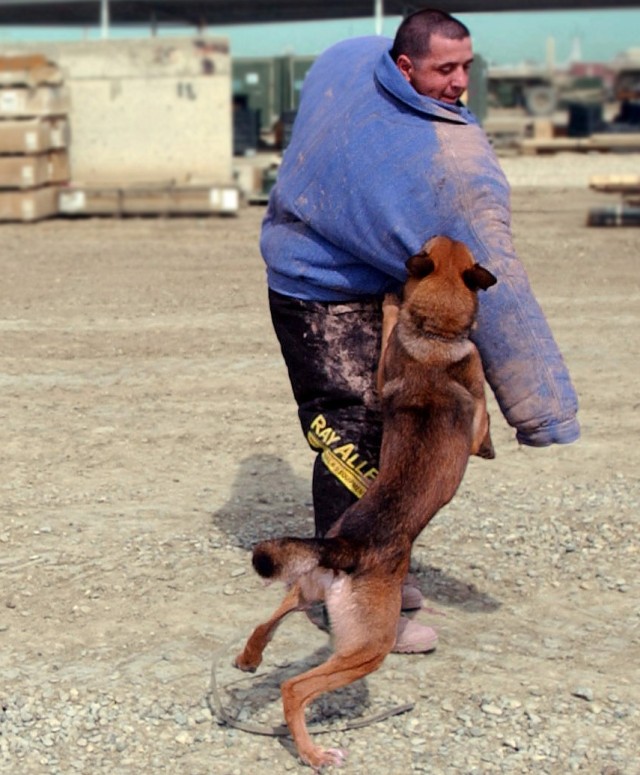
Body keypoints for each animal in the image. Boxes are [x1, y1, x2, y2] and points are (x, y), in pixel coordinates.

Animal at [232, 236, 498, 768]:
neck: (434, 335)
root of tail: (345, 547)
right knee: (295, 689)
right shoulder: (477, 412)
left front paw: (393, 304)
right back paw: (313, 753)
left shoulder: (383, 373)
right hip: (369, 646)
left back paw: (249, 659)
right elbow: (485, 425)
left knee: (269, 620)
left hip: (308, 590)